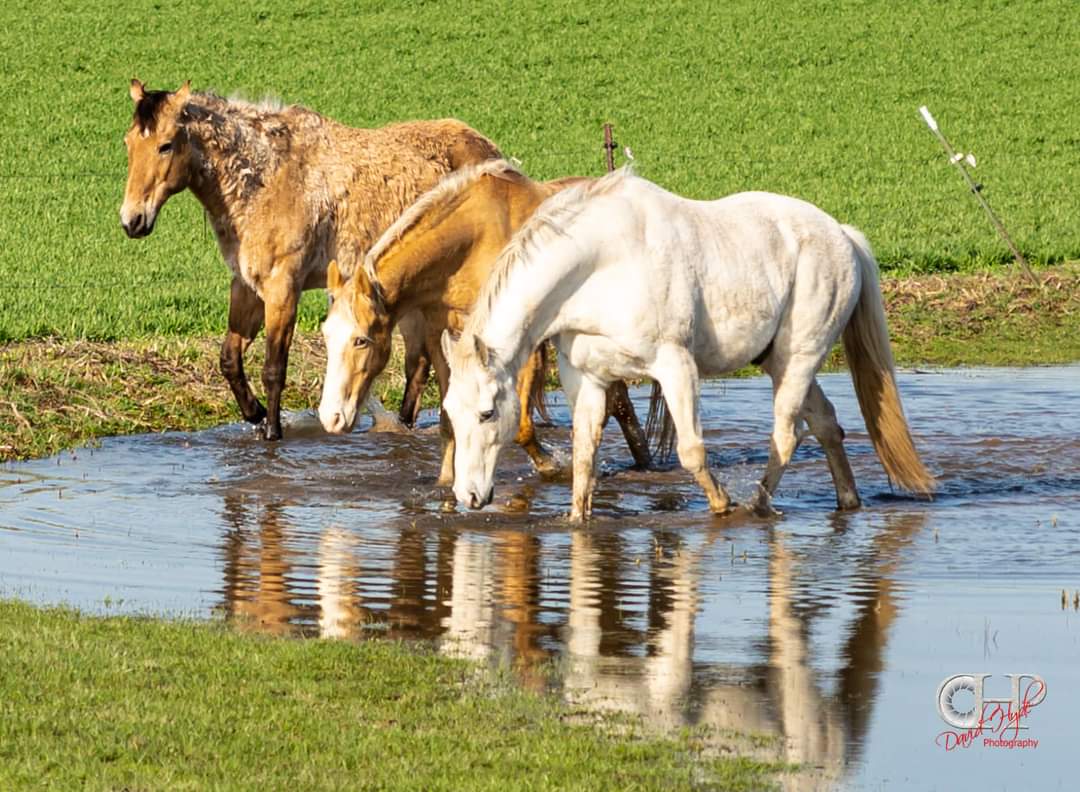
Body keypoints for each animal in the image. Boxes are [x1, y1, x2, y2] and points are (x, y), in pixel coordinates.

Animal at [120, 79, 501, 439]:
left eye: (165, 145)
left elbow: (274, 369)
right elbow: (229, 359)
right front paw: (255, 414)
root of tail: (492, 152)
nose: (132, 220)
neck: (264, 181)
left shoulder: (283, 288)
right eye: (128, 143)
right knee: (418, 364)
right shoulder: (246, 286)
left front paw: (272, 433)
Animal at [317, 160, 654, 485]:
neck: (469, 246)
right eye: (327, 336)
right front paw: (446, 482)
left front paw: (554, 468)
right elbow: (448, 419)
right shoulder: (441, 337)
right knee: (619, 401)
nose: (330, 418)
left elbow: (521, 426)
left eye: (361, 340)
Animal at [441, 168, 935, 521]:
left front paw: (721, 504)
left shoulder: (675, 366)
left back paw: (755, 507)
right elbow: (584, 458)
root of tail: (842, 235)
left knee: (786, 435)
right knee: (827, 425)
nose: (468, 495)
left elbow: (691, 450)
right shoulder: (588, 380)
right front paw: (576, 520)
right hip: (779, 363)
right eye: (449, 413)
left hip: (800, 359)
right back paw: (847, 501)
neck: (598, 264)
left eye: (487, 413)